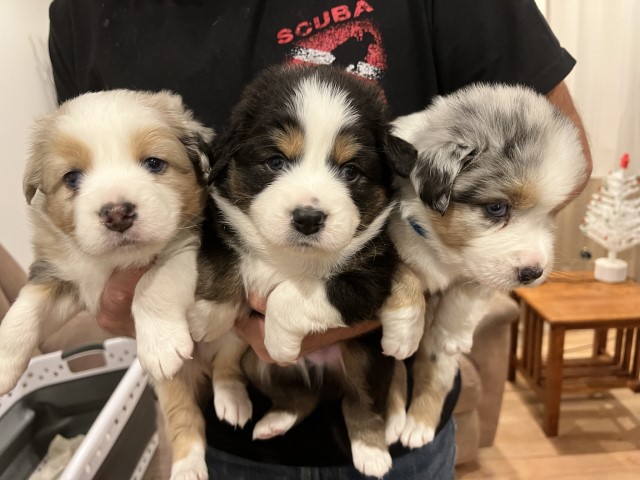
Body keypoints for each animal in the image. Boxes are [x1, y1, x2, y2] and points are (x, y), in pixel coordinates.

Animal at [0, 88, 211, 392]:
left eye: (154, 163)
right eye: (72, 178)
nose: (117, 214)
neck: (115, 261)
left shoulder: (192, 245)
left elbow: (154, 282)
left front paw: (160, 345)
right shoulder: (62, 275)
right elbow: (26, 305)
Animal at [388, 84, 588, 448]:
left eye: (551, 213)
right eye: (496, 208)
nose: (533, 273)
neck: (443, 249)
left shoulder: (483, 269)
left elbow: (468, 292)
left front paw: (452, 334)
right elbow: (405, 277)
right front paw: (403, 335)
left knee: (434, 372)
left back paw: (417, 427)